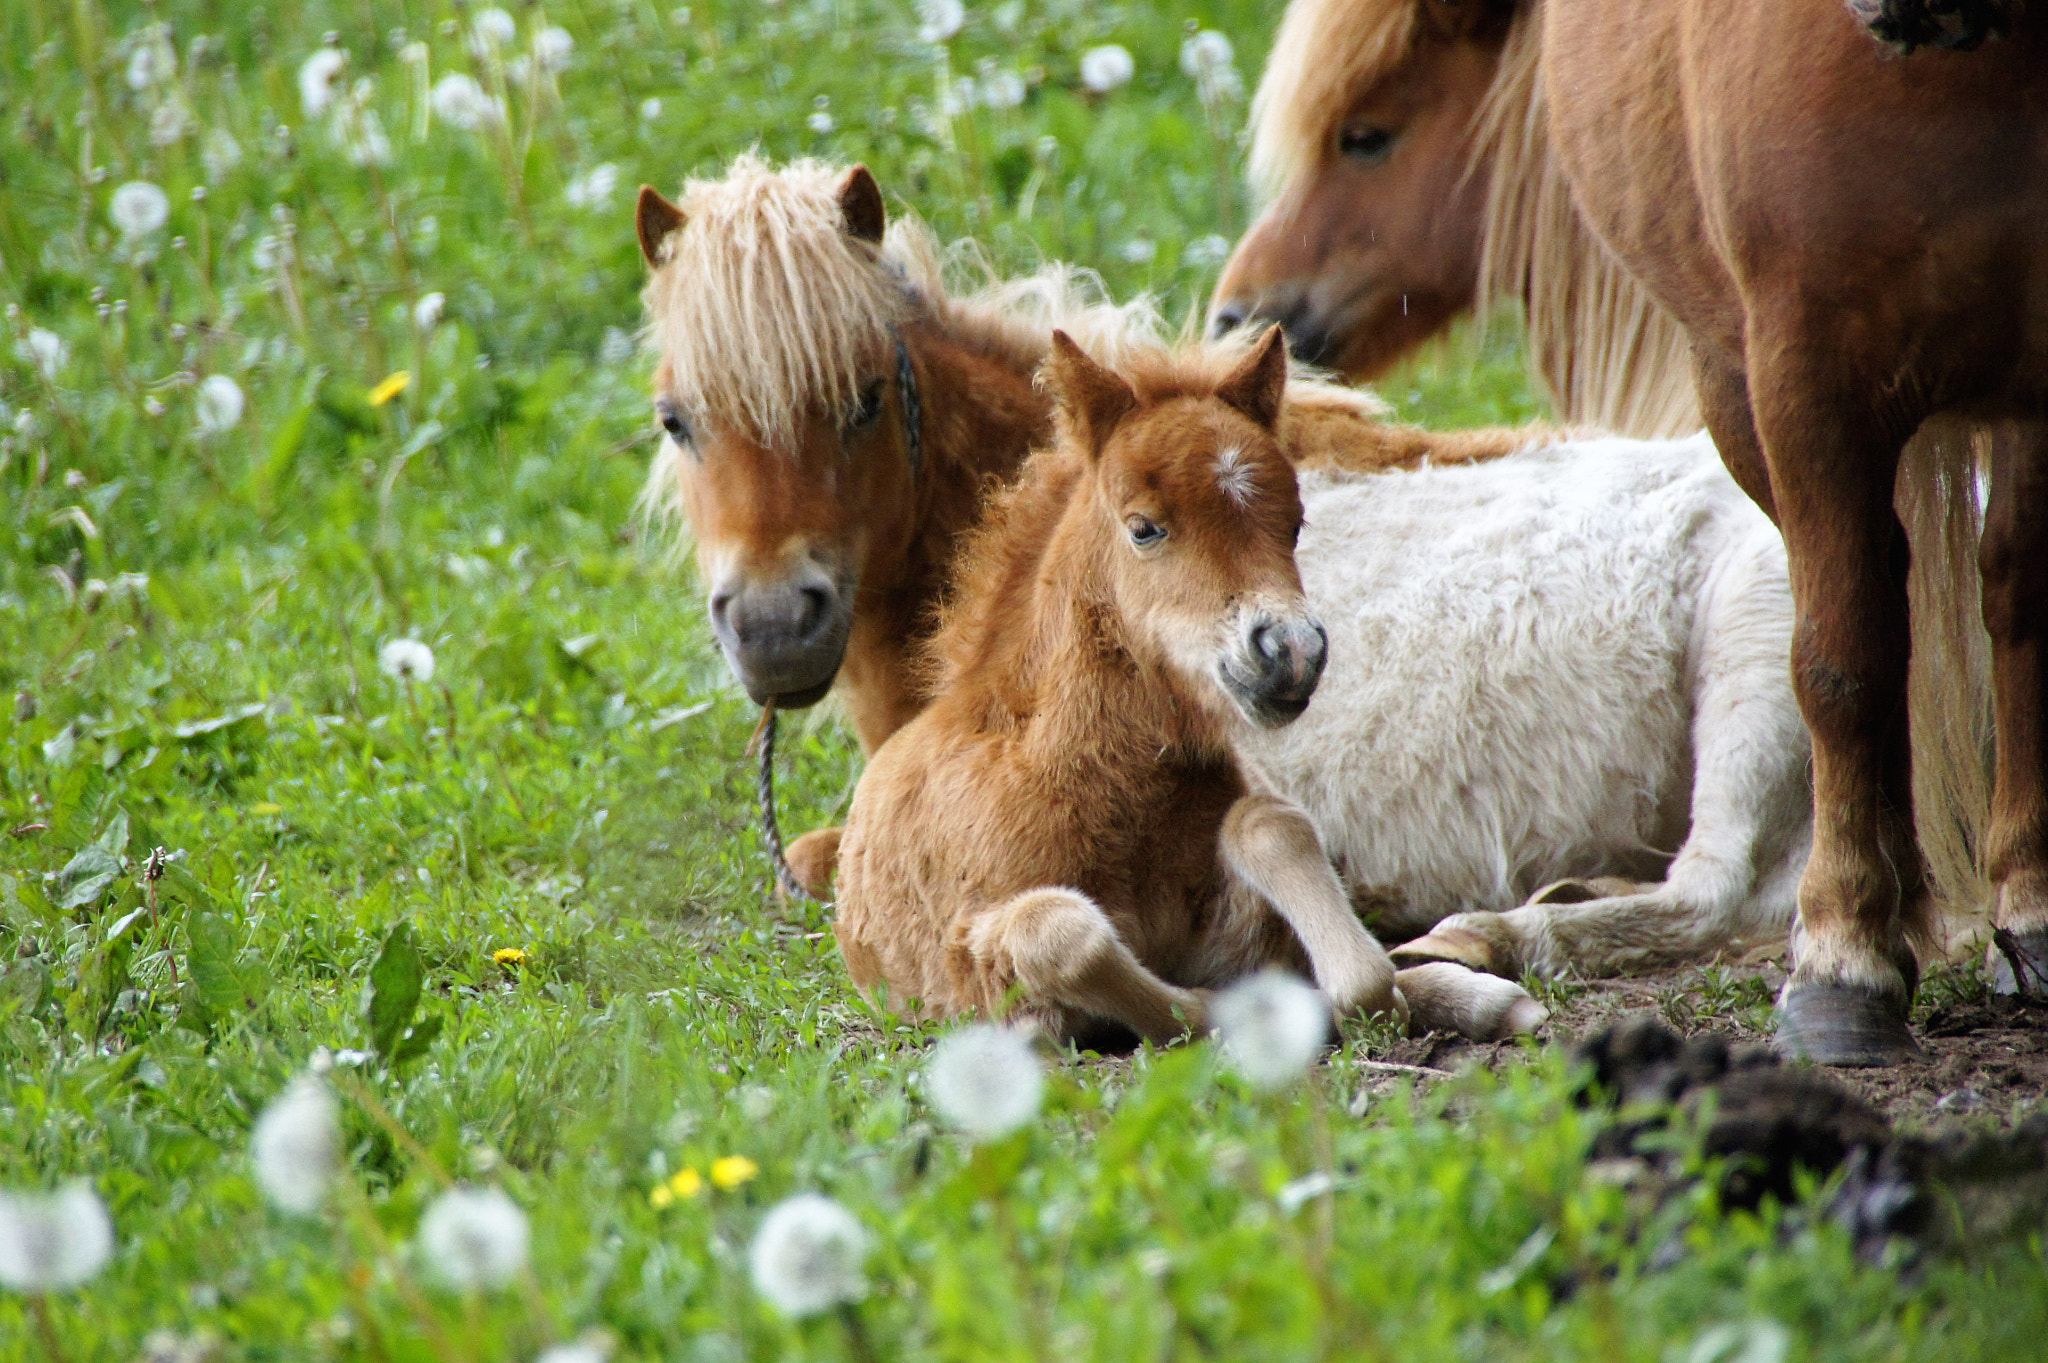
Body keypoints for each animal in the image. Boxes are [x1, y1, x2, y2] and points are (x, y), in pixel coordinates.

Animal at [833, 329, 1548, 1045]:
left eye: (1295, 523)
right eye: (1143, 527)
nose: (1292, 652)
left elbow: (1274, 829)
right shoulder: (977, 973)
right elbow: (1061, 935)